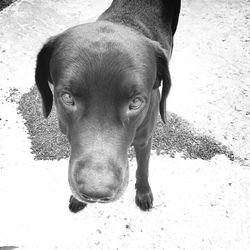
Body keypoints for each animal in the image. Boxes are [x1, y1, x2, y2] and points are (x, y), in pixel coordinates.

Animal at [34, 0, 180, 212]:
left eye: (136, 102)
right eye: (67, 97)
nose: (95, 192)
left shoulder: (145, 139)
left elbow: (143, 168)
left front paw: (143, 192)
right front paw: (78, 199)